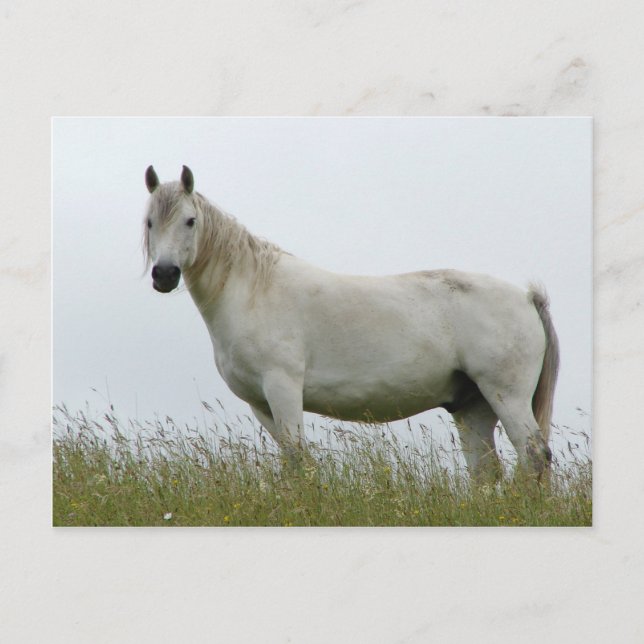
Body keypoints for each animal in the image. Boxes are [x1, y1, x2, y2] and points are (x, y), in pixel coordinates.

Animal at [143, 165, 559, 479]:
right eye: (149, 222)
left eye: (190, 221)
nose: (164, 274)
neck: (253, 291)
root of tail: (527, 297)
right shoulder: (260, 403)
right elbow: (291, 460)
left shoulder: (283, 388)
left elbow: (299, 460)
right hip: (474, 407)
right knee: (486, 471)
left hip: (507, 395)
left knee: (534, 455)